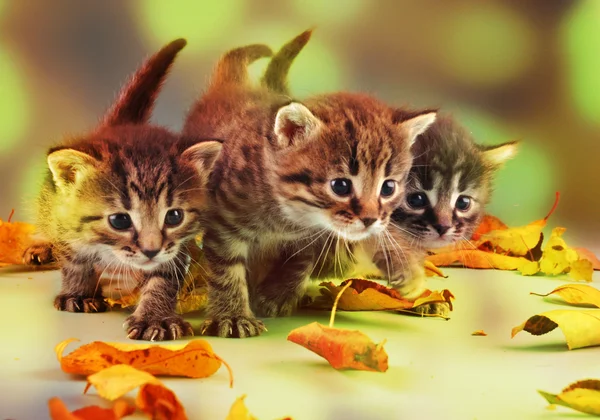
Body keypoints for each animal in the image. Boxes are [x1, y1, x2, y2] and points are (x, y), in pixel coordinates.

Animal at [31, 39, 223, 342]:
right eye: (120, 220)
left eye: (174, 216)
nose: (151, 250)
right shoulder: (66, 220)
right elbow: (74, 259)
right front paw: (78, 292)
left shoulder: (176, 247)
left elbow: (164, 276)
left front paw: (155, 317)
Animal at [183, 34, 436, 340]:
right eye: (340, 185)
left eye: (388, 188)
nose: (370, 218)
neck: (287, 219)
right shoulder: (223, 223)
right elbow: (226, 270)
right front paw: (232, 316)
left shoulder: (319, 236)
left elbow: (300, 261)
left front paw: (277, 294)